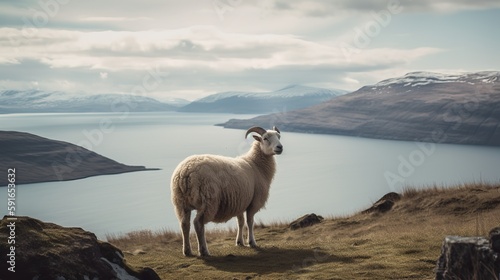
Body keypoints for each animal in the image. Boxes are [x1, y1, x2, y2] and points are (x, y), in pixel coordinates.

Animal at [171, 126, 282, 256]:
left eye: (279, 137)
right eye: (265, 138)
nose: (280, 147)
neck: (255, 165)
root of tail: (186, 172)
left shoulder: (241, 201)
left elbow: (240, 222)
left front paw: (239, 242)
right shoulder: (253, 202)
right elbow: (250, 222)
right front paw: (252, 242)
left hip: (181, 203)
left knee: (184, 224)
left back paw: (187, 251)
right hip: (208, 202)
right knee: (198, 224)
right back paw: (204, 251)